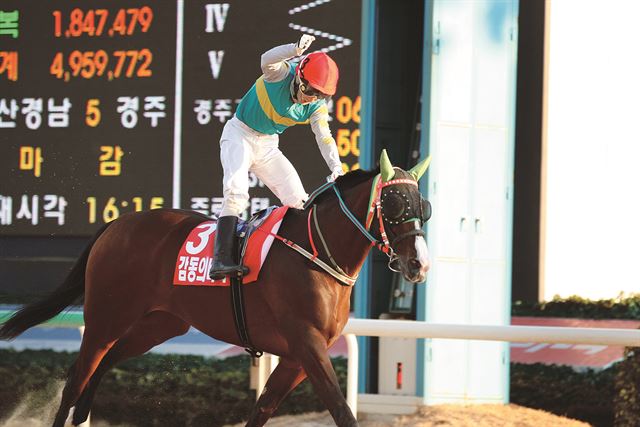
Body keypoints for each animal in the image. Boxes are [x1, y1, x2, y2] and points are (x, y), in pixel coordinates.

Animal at [0, 150, 432, 424]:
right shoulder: (305, 342)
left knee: (104, 363)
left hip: (160, 323)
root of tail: (115, 224)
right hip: (107, 316)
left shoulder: (298, 355)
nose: (419, 264)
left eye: (424, 207)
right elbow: (342, 412)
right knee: (77, 377)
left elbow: (262, 409)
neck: (316, 251)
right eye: (394, 204)